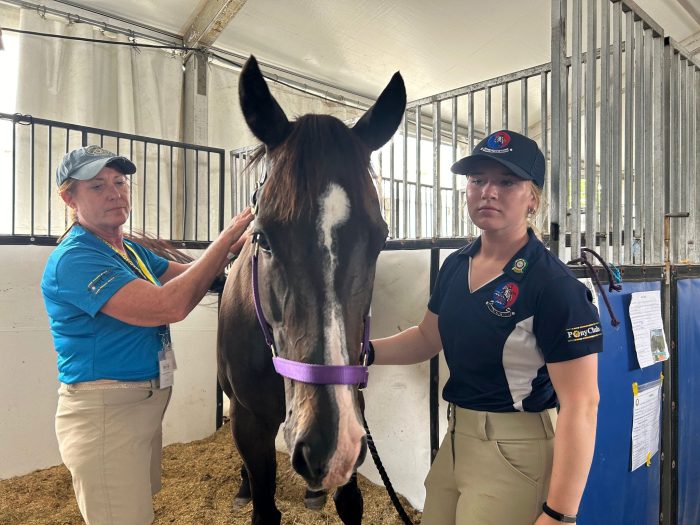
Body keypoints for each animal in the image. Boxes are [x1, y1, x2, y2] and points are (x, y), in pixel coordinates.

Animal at [217, 55, 406, 525]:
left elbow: (350, 502)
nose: (326, 448)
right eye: (262, 238)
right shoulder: (250, 422)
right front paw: (251, 490)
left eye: (380, 239)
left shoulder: (355, 414)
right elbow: (264, 506)